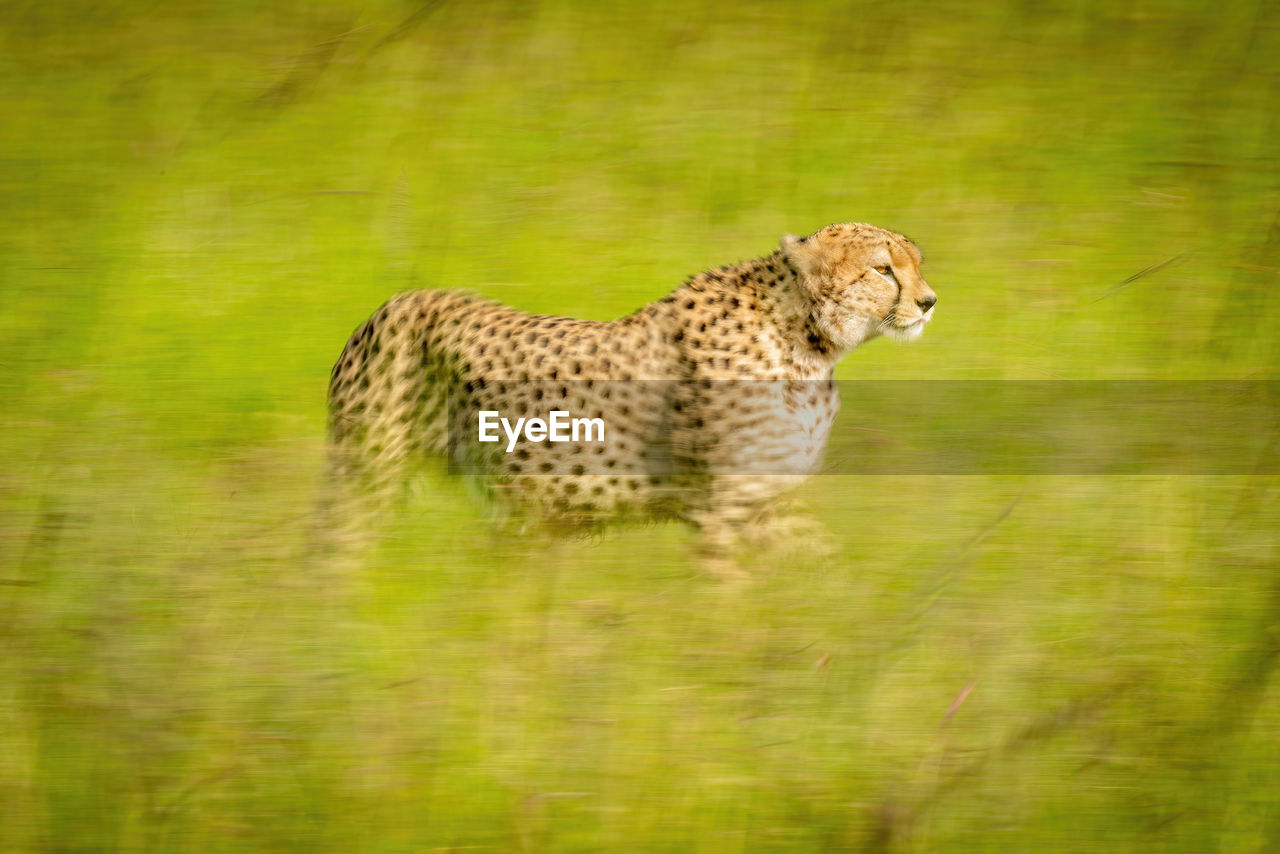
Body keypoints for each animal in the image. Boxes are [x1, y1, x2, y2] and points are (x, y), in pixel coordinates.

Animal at [325, 225, 936, 573]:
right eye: (883, 269)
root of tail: (396, 300)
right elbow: (728, 605)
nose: (930, 301)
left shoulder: (765, 502)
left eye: (916, 264)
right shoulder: (720, 509)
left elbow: (825, 565)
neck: (807, 343)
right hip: (368, 475)